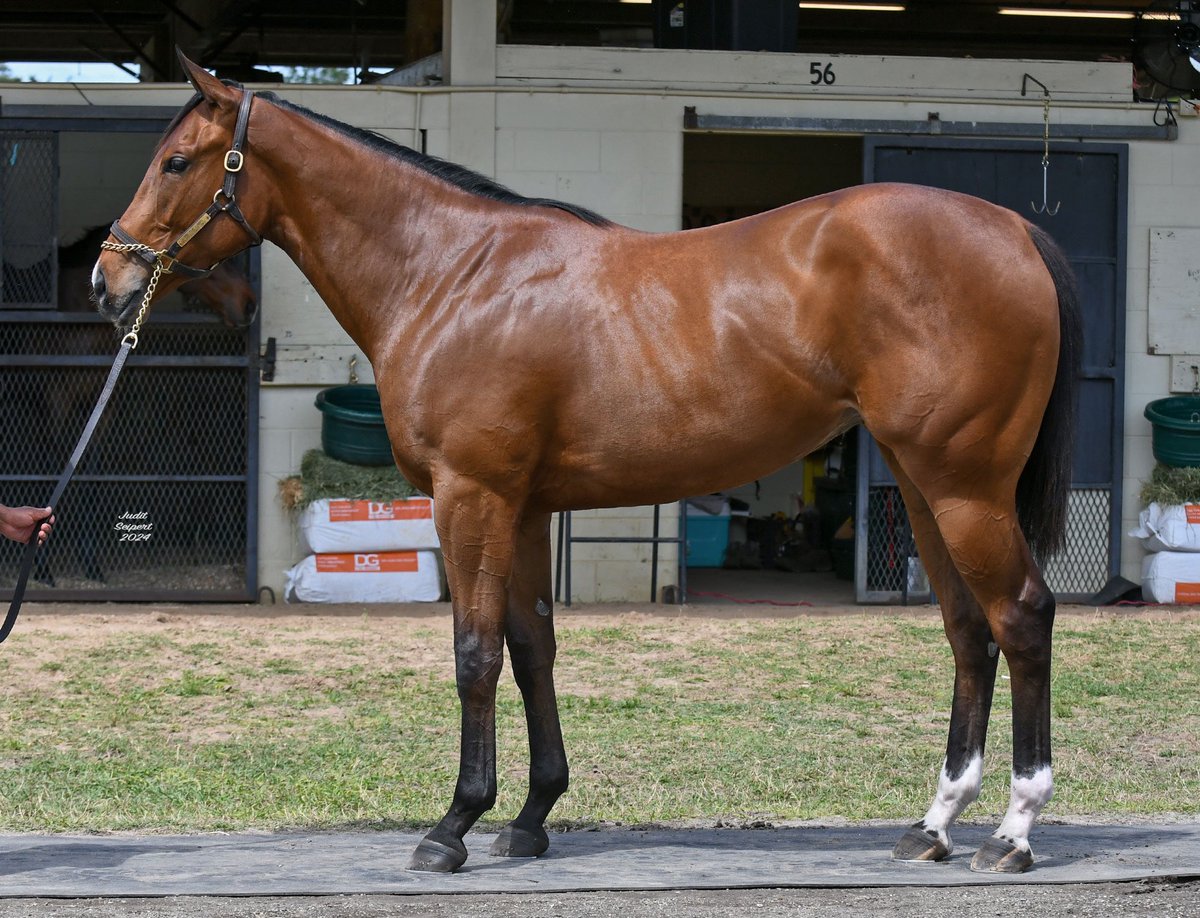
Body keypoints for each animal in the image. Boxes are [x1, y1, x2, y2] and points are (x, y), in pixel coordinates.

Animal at [93, 57, 1084, 873]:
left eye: (176, 162)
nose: (109, 281)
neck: (453, 274)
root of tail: (1014, 228)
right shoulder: (525, 508)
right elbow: (533, 649)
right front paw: (530, 819)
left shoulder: (472, 497)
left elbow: (475, 654)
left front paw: (453, 827)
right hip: (924, 487)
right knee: (968, 631)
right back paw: (934, 825)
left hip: (964, 487)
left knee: (1022, 616)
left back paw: (1012, 832)